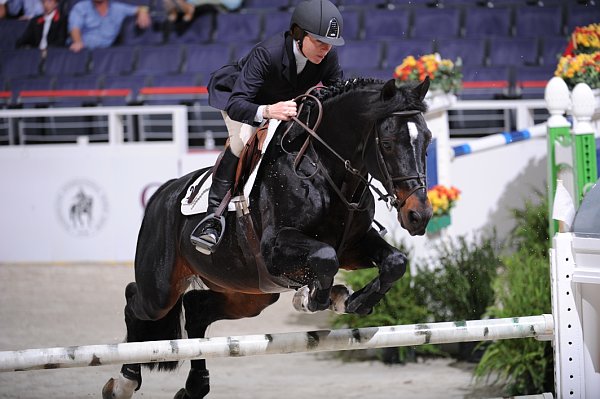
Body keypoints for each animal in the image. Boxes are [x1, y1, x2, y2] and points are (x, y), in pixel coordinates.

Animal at [103, 77, 432, 399]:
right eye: (387, 144)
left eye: (427, 140)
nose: (419, 215)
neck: (325, 169)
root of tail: (165, 191)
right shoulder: (276, 248)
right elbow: (325, 257)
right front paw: (316, 298)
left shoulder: (353, 246)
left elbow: (395, 262)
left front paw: (355, 301)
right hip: (161, 288)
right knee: (136, 301)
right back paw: (124, 383)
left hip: (248, 293)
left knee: (196, 310)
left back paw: (195, 386)